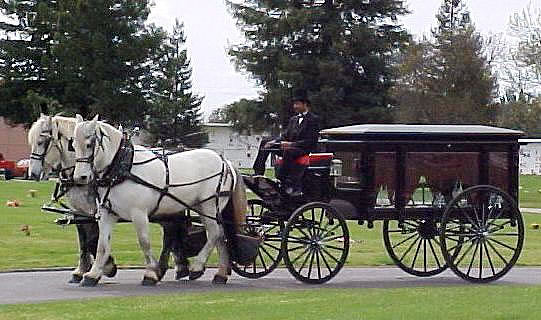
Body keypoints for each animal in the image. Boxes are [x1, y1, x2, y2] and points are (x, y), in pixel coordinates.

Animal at [71, 114, 247, 284]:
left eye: (89, 144)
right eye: (73, 145)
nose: (80, 177)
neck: (122, 167)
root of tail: (225, 162)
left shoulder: (139, 213)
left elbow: (144, 242)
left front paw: (150, 273)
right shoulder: (107, 213)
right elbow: (102, 245)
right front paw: (92, 275)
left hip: (209, 205)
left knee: (214, 234)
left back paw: (197, 267)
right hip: (205, 208)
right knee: (221, 236)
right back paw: (220, 274)